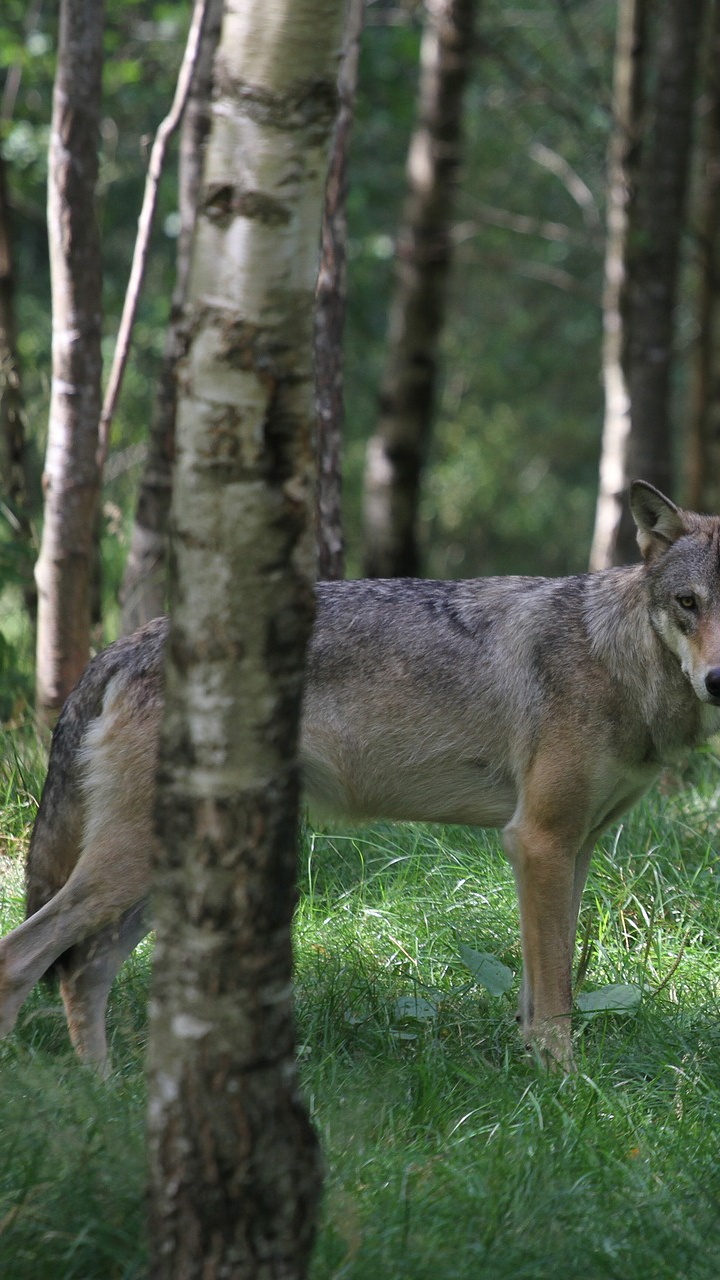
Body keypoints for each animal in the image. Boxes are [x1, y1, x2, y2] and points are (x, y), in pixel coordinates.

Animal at [1, 481, 720, 1073]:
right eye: (689, 603)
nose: (718, 681)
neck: (616, 656)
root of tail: (127, 643)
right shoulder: (539, 842)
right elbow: (554, 998)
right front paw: (563, 1089)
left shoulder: (572, 850)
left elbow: (544, 988)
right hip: (130, 866)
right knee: (22, 959)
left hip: (160, 875)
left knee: (81, 974)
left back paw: (108, 1096)